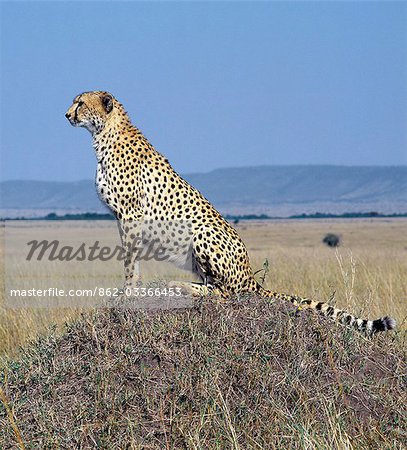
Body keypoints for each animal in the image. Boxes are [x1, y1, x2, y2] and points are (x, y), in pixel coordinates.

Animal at [65, 90, 396, 334]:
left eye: (80, 102)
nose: (66, 114)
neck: (105, 134)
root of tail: (251, 276)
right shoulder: (123, 218)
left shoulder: (130, 216)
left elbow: (130, 262)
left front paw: (127, 292)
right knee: (213, 285)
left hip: (203, 233)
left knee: (225, 293)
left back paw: (182, 287)